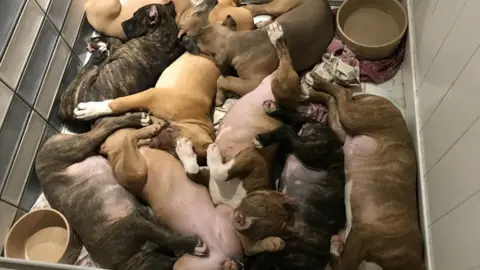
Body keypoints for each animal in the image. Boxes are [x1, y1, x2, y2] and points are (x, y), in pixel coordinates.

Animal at [34, 112, 205, 270]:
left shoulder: (136, 223)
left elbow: (162, 234)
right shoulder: (138, 220)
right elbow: (163, 234)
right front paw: (191, 245)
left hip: (75, 148)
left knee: (108, 126)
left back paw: (141, 121)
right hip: (74, 148)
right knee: (108, 127)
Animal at [246, 104, 346, 270]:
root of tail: (320, 124)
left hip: (299, 148)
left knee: (291, 123)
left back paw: (271, 113)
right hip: (312, 151)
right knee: (287, 128)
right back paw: (264, 137)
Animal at [308, 76, 424, 270]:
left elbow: (341, 262)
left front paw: (336, 246)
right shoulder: (362, 234)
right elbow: (343, 266)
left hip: (344, 128)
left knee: (334, 101)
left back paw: (315, 92)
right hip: (356, 117)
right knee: (343, 93)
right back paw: (318, 83)